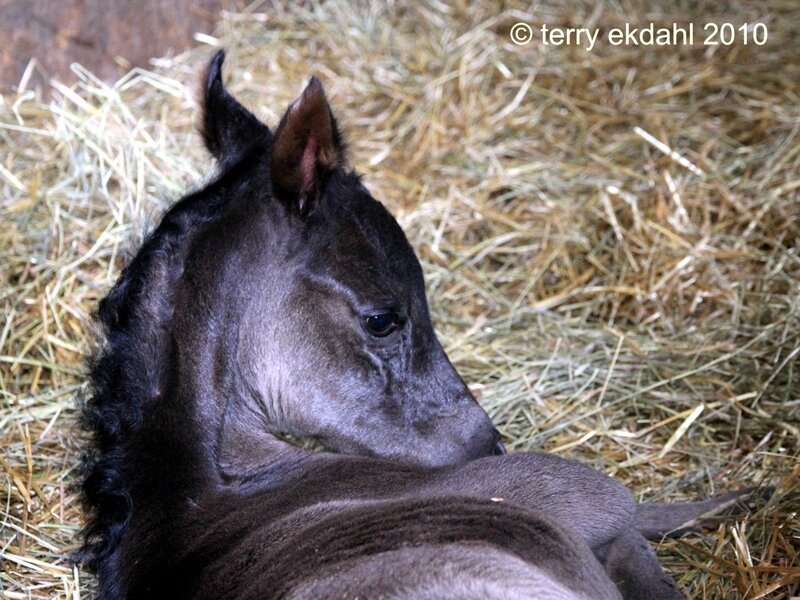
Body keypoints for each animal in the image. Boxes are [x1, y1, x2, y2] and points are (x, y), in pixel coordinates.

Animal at [78, 50, 752, 599]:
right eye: (383, 319)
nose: (488, 444)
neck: (190, 498)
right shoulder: (579, 495)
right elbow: (643, 531)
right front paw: (740, 496)